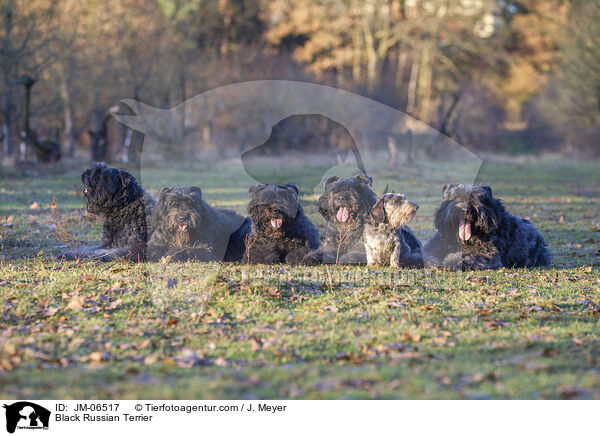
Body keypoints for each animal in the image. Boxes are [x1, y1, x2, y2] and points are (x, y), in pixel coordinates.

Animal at [424, 183, 552, 270]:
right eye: (455, 197)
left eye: (477, 198)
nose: (465, 210)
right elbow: (428, 256)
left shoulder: (487, 254)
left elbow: (462, 258)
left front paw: (449, 262)